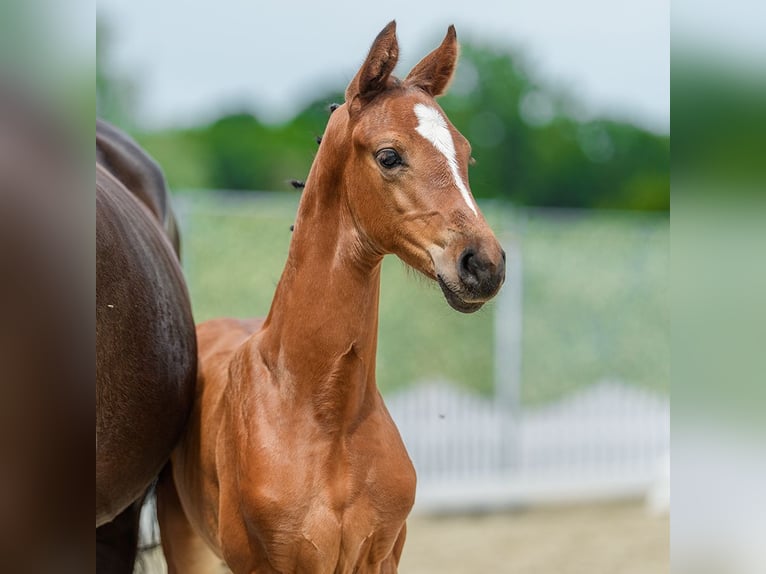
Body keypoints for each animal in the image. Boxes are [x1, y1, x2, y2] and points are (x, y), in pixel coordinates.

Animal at [157, 21, 506, 573]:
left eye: (466, 154)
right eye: (389, 155)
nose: (483, 264)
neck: (327, 415)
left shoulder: (380, 557)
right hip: (188, 544)